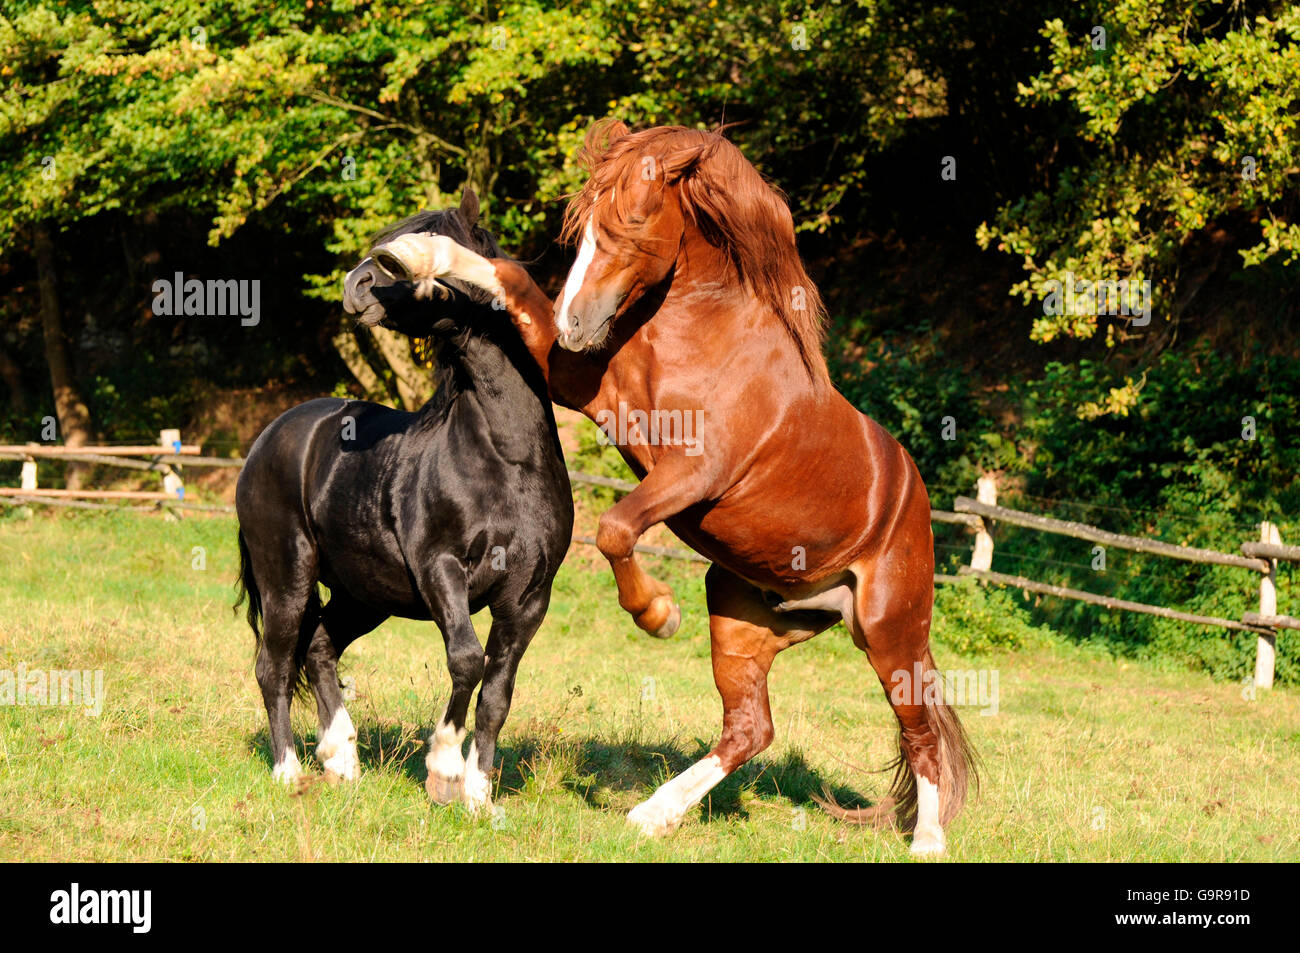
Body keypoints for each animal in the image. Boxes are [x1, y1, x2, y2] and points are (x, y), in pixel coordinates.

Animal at [236, 193, 572, 811]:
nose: (356, 284)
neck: (505, 457)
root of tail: (270, 437)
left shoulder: (528, 597)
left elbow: (498, 692)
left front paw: (479, 799)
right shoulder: (441, 569)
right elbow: (466, 660)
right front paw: (443, 769)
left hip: (364, 593)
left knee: (319, 647)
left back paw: (340, 760)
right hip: (286, 578)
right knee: (274, 666)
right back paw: (289, 772)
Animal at [371, 118, 972, 852]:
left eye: (630, 222)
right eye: (580, 225)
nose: (575, 326)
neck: (704, 340)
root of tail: (911, 497)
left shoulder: (691, 469)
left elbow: (615, 529)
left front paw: (657, 614)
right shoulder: (583, 385)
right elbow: (509, 278)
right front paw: (413, 251)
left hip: (890, 634)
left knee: (920, 732)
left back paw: (927, 841)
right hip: (743, 616)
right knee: (751, 729)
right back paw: (652, 814)